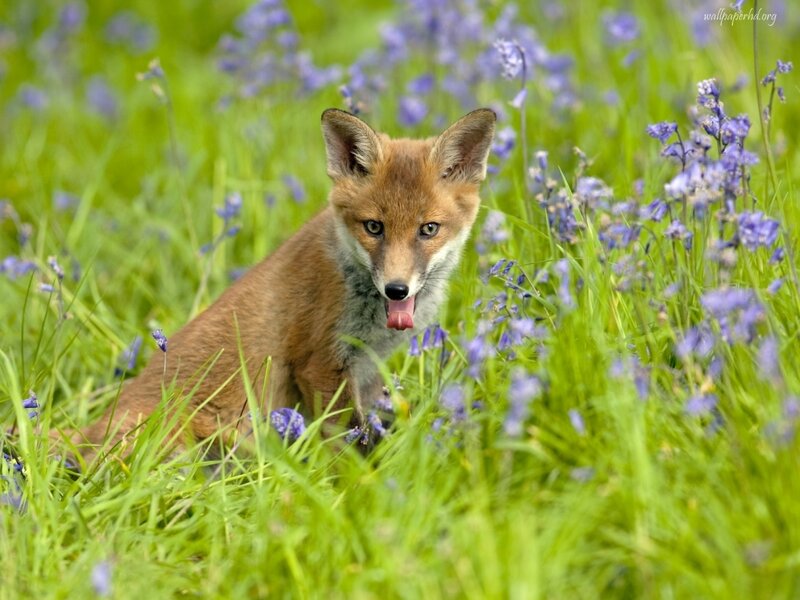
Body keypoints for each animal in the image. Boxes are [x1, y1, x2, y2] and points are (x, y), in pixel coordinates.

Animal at [57, 107, 496, 461]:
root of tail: (89, 432)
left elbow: (369, 429)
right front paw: (355, 485)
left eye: (428, 229)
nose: (397, 290)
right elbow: (348, 443)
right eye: (374, 227)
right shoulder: (319, 363)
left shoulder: (367, 372)